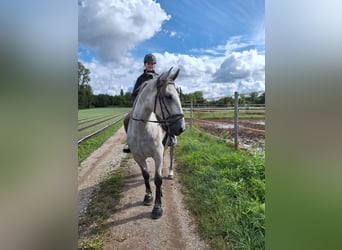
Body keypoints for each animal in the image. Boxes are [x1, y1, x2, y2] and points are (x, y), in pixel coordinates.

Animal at [126, 67, 186, 218]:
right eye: (168, 96)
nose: (182, 128)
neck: (143, 128)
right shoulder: (138, 157)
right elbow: (146, 175)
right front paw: (148, 196)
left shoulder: (157, 155)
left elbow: (158, 179)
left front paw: (157, 207)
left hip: (172, 145)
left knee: (171, 158)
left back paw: (170, 173)